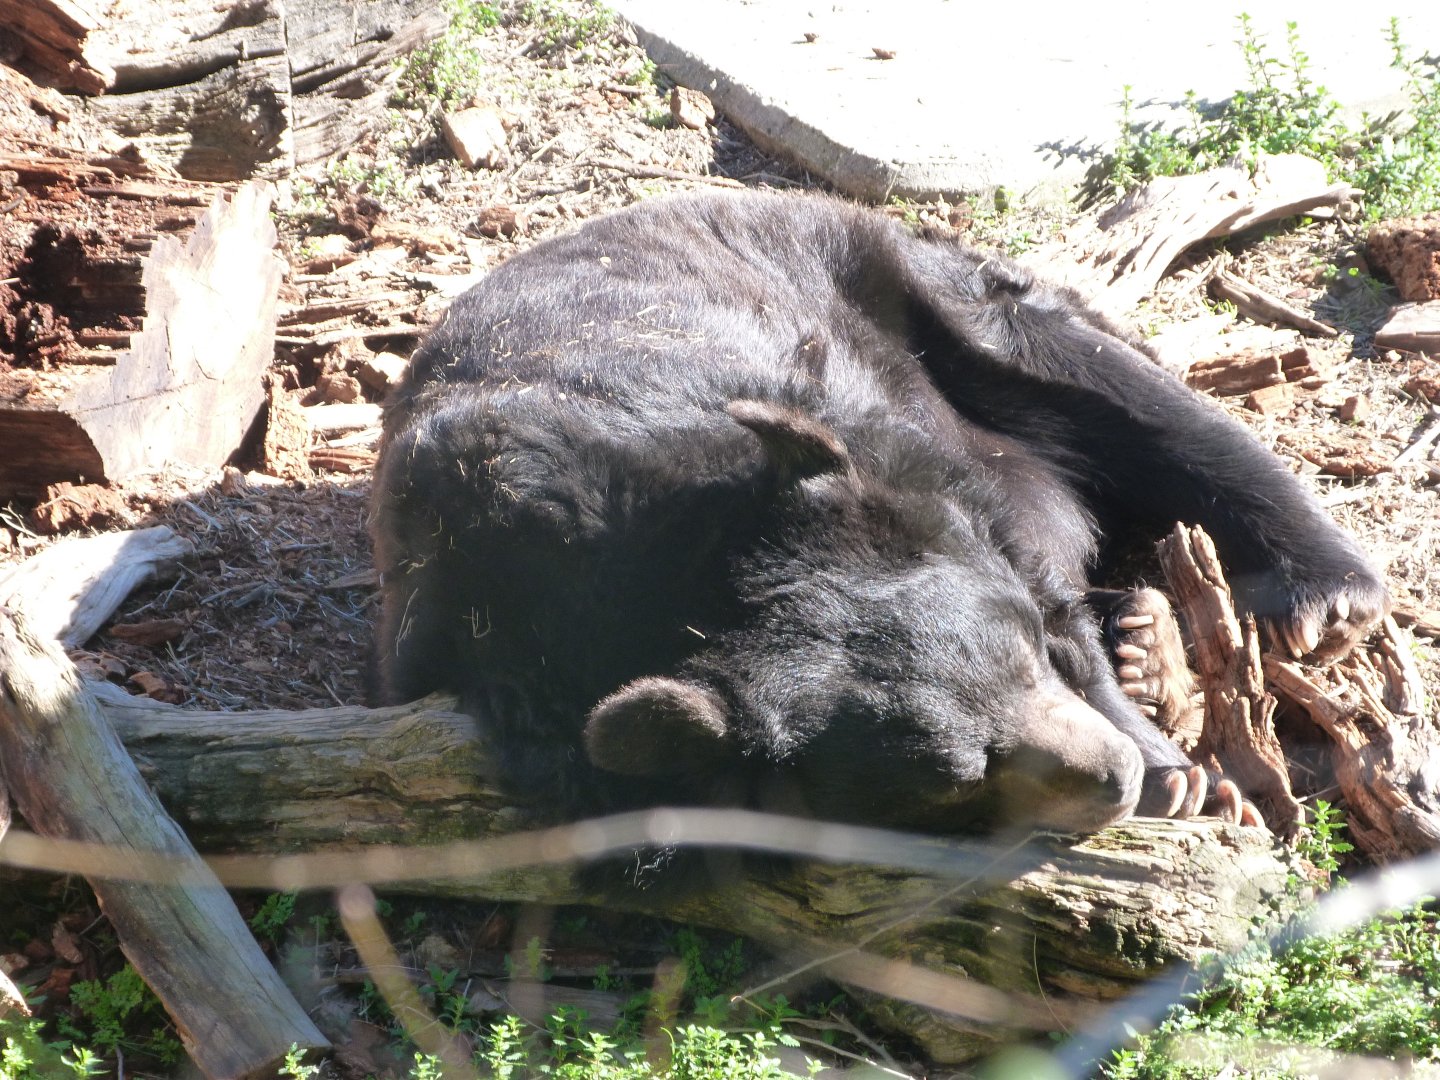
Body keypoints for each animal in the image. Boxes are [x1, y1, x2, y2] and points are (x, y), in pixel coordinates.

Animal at [369, 190, 1387, 858]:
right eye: (964, 776)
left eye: (1018, 650)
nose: (1115, 777)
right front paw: (1175, 770)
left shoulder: (850, 426)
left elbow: (1034, 563)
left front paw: (1183, 773)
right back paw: (1148, 639)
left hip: (919, 292)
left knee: (1115, 393)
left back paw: (1318, 596)